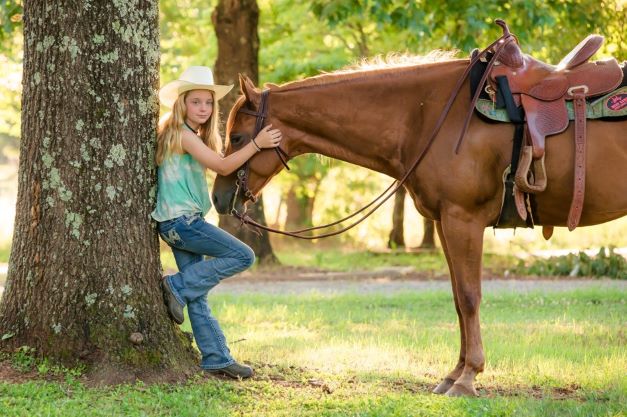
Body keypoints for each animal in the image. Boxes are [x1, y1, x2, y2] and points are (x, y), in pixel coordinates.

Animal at [212, 51, 627, 394]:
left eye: (238, 137)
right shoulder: (445, 223)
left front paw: (468, 377)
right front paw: (454, 373)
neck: (428, 116)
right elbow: (458, 299)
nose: (218, 197)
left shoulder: (463, 220)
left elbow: (470, 297)